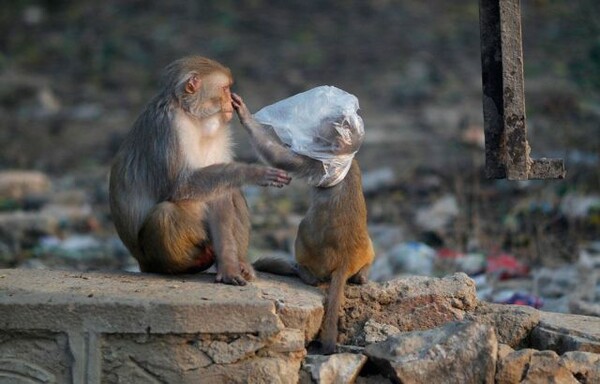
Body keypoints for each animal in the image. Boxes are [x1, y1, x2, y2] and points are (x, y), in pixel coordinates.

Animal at [232, 93, 372, 354]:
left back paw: (304, 273)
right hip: (365, 251)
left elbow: (279, 157)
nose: (314, 136)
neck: (342, 158)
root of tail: (346, 259)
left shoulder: (315, 163)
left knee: (303, 234)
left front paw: (244, 115)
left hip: (316, 255)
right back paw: (362, 276)